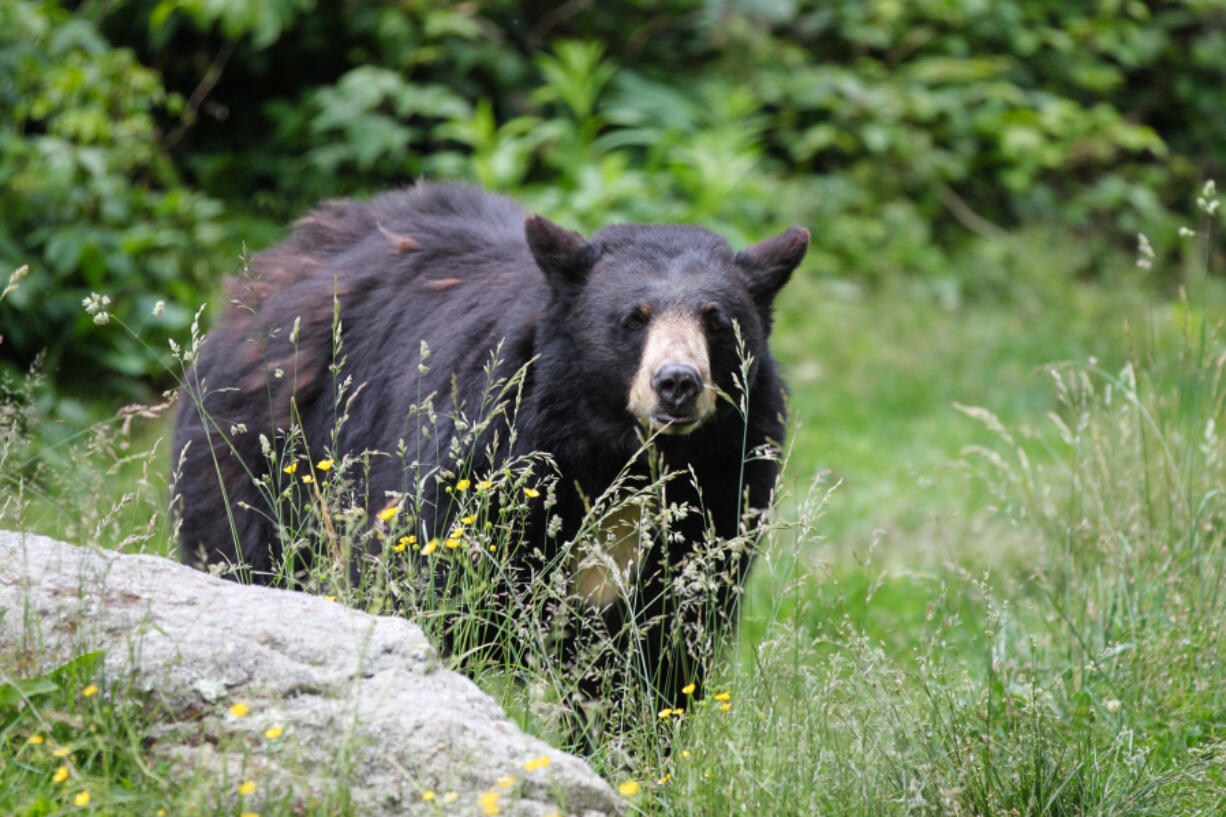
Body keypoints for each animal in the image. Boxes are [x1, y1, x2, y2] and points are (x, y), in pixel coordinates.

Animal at [172, 182, 804, 711]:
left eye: (716, 321)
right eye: (633, 318)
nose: (676, 383)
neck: (618, 460)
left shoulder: (718, 499)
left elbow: (662, 656)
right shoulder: (480, 473)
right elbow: (436, 600)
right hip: (263, 463)